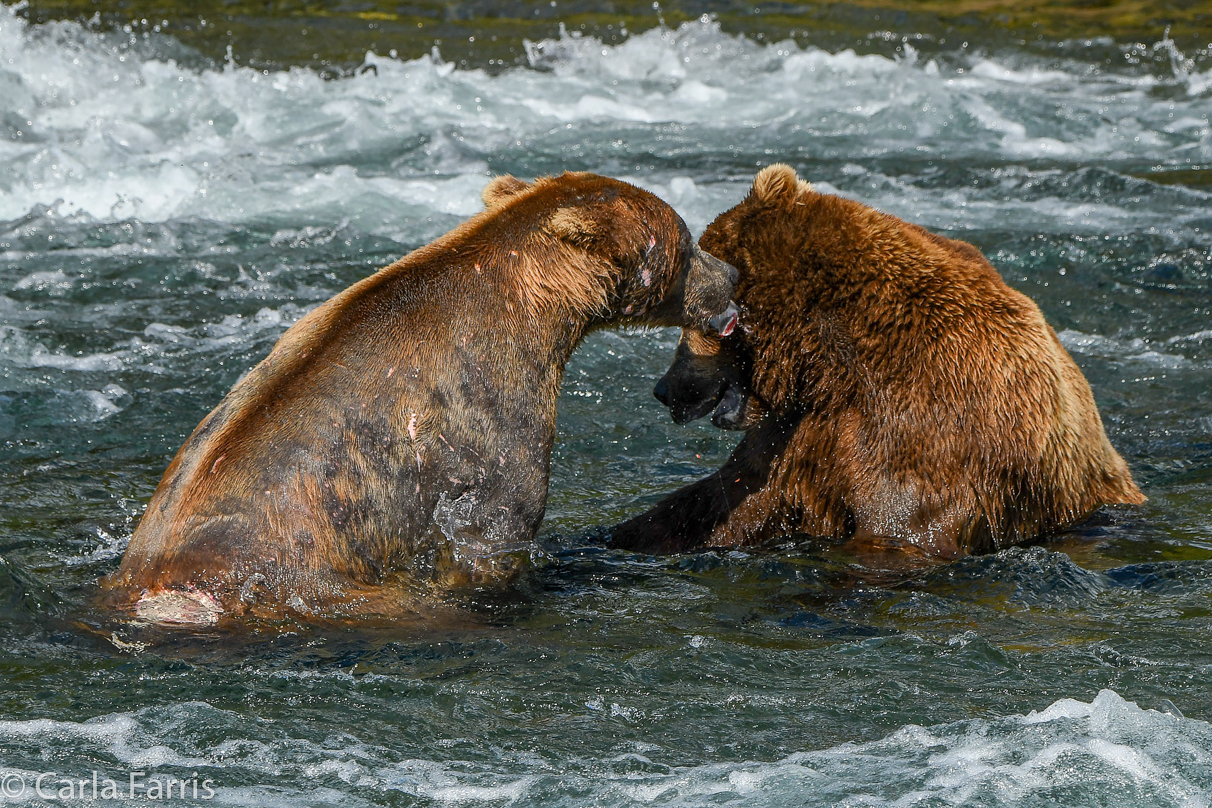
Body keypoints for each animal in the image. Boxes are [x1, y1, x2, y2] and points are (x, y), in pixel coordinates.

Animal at [610, 161, 1139, 559]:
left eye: (693, 321)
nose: (665, 387)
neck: (834, 363)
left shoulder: (927, 425)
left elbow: (899, 526)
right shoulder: (800, 430)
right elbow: (719, 502)